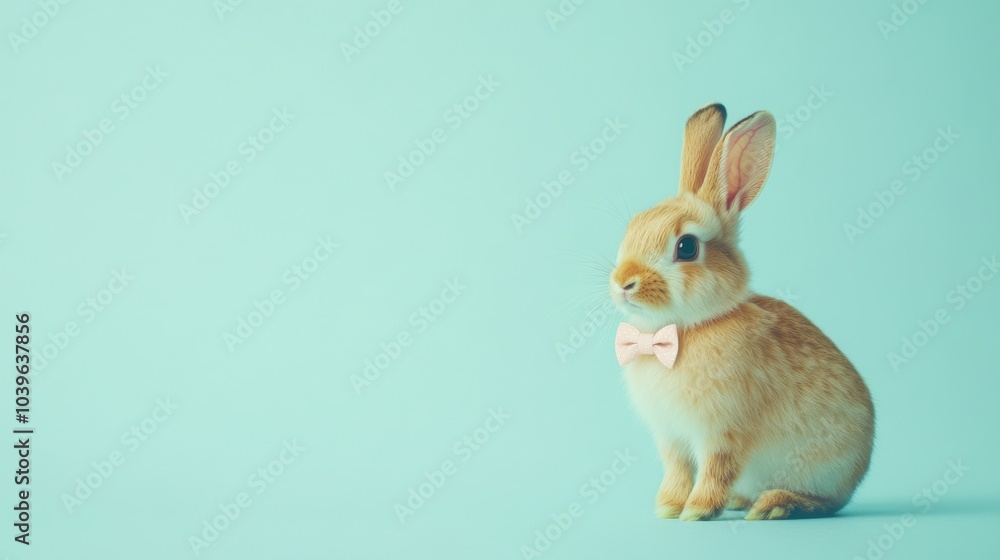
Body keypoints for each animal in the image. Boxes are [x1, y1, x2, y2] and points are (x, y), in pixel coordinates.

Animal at [608, 103, 874, 521]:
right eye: (632, 227)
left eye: (686, 247)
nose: (623, 282)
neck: (684, 330)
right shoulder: (672, 438)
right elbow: (677, 470)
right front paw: (668, 507)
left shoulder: (722, 432)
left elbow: (715, 469)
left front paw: (697, 511)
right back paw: (741, 501)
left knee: (828, 503)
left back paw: (776, 505)